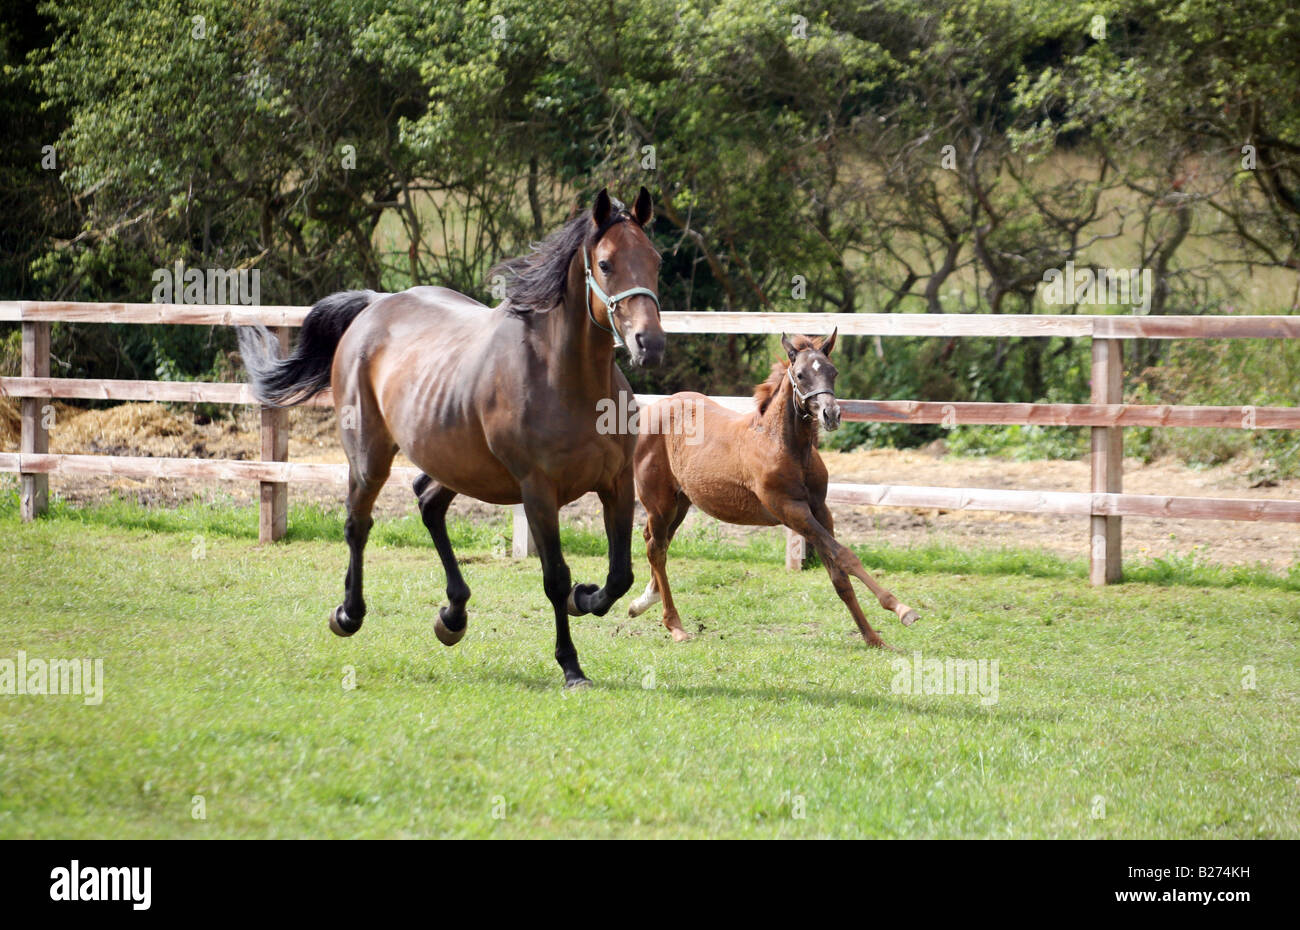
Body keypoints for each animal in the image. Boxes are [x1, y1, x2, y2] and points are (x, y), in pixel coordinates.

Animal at [626, 332, 915, 647]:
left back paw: (642, 602)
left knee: (658, 542)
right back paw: (675, 625)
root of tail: (649, 411)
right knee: (656, 548)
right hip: (659, 502)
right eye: (800, 375)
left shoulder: (819, 509)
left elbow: (839, 575)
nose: (832, 414)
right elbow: (845, 555)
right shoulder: (791, 510)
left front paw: (873, 637)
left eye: (833, 371)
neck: (785, 446)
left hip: (681, 502)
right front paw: (902, 609)